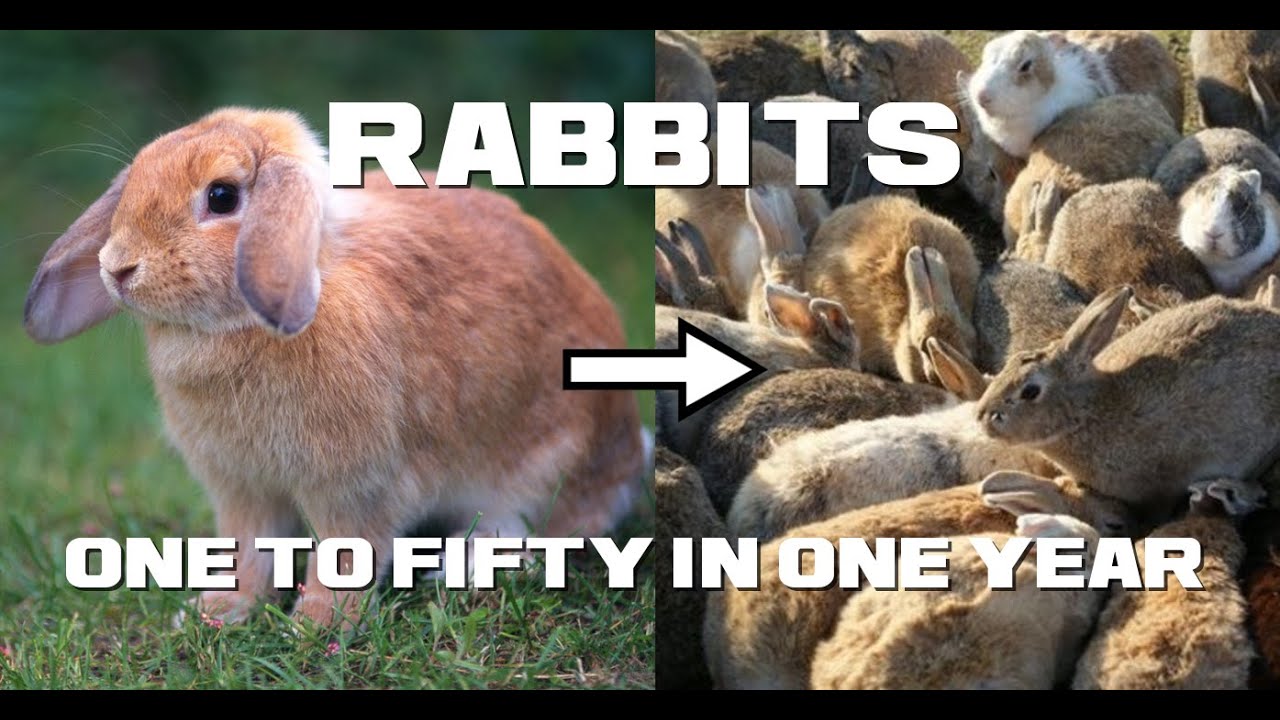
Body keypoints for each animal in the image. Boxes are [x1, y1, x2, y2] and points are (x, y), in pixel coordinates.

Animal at [23, 108, 648, 628]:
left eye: (222, 196)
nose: (116, 267)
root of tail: (627, 454)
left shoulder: (356, 486)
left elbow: (345, 555)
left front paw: (317, 628)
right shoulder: (243, 489)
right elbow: (249, 552)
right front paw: (218, 613)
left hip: (544, 462)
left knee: (526, 525)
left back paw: (463, 570)